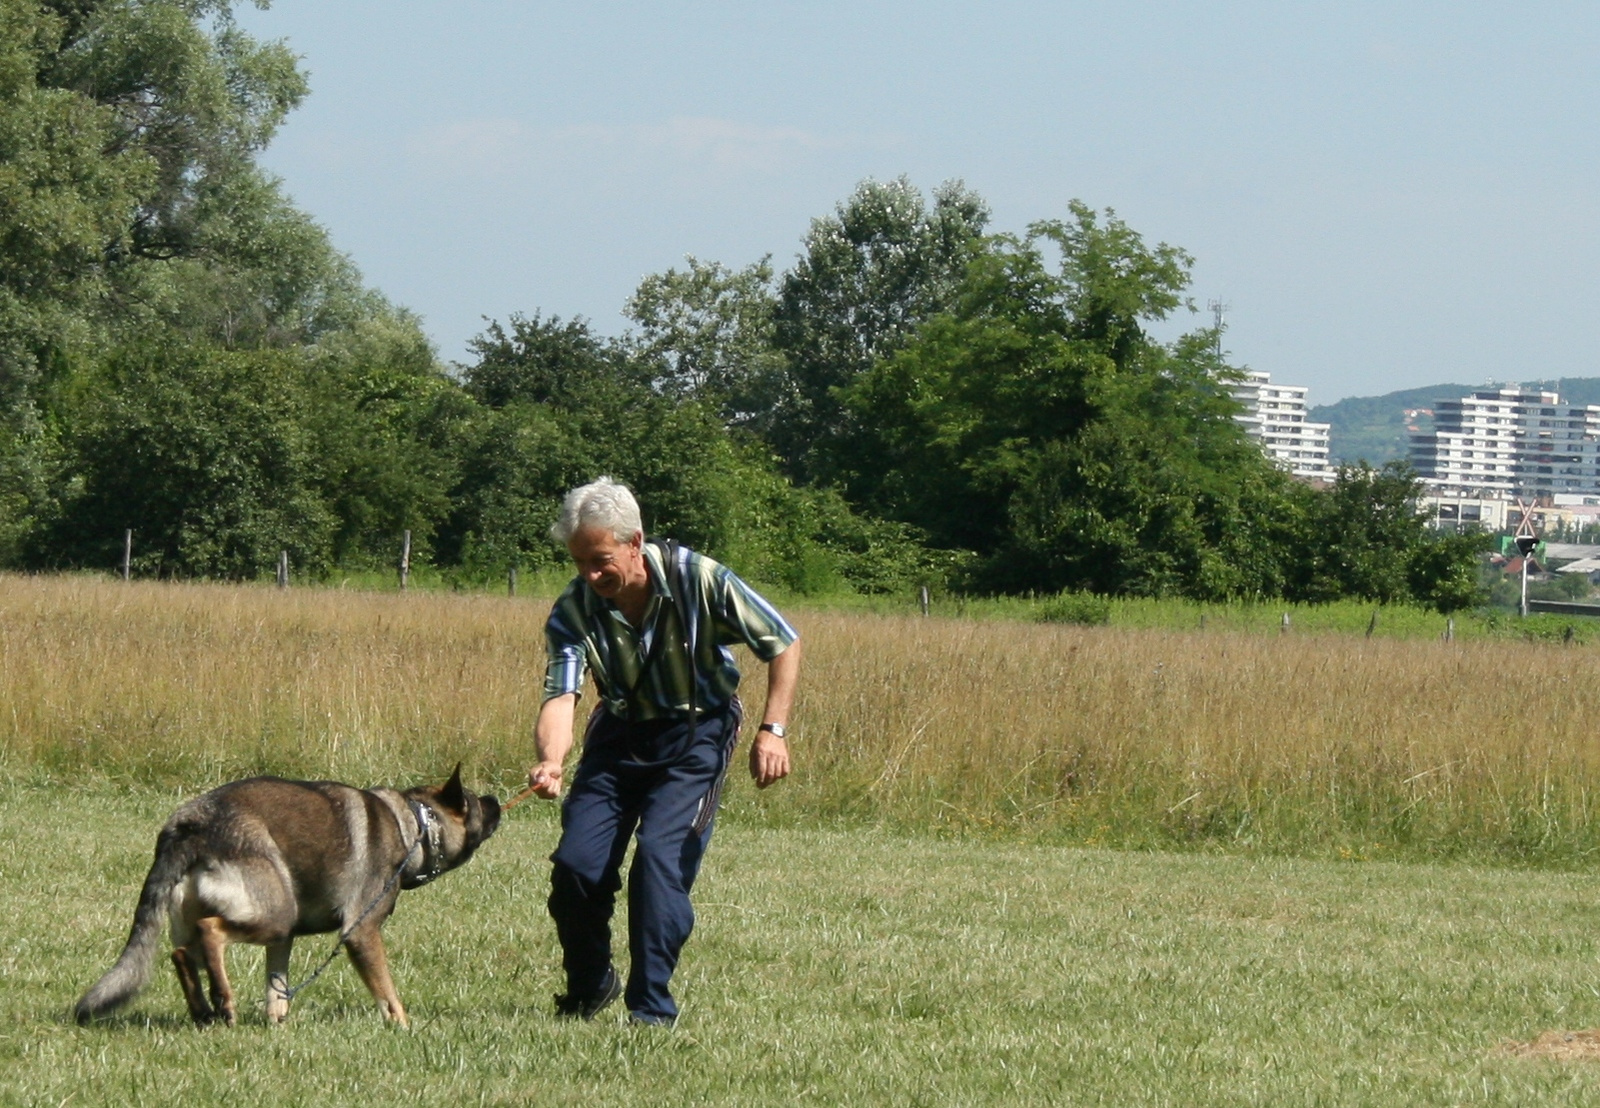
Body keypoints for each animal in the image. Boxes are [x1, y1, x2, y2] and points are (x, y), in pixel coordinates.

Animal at [73, 762, 499, 1031]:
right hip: (273, 915)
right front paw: (404, 1027)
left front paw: (277, 1024)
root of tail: (190, 825)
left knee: (181, 954)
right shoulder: (360, 933)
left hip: (243, 921)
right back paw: (223, 1001)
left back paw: (204, 1012)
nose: (496, 799)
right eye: (474, 802)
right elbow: (387, 993)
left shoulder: (285, 943)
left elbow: (277, 990)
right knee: (211, 932)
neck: (414, 826)